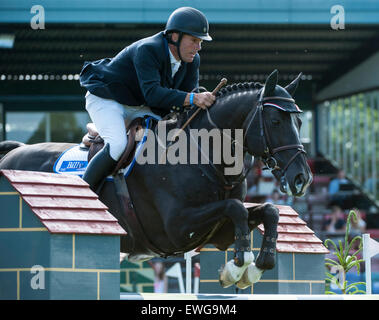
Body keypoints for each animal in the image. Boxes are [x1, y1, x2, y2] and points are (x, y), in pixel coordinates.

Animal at [0, 70, 314, 290]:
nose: (302, 178)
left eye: (300, 122)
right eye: (275, 121)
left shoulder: (219, 231)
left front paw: (257, 265)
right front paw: (238, 267)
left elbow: (268, 211)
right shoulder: (176, 227)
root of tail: (13, 152)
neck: (206, 156)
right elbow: (235, 208)